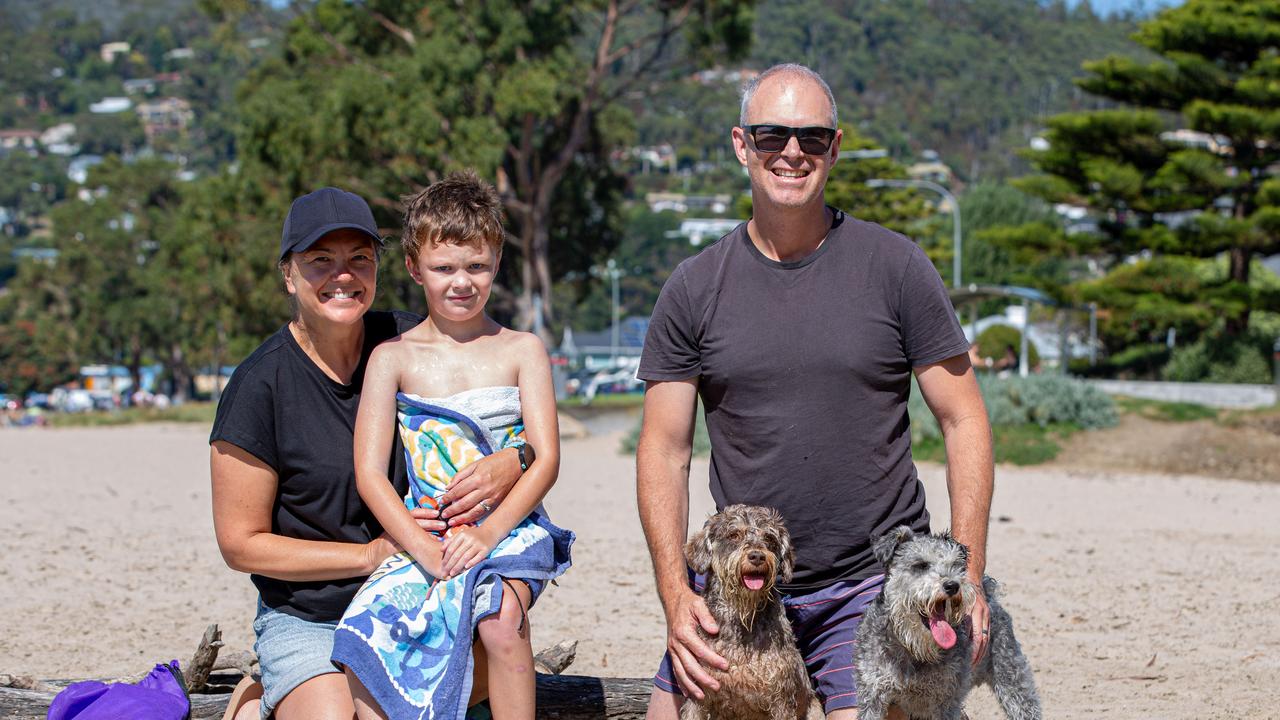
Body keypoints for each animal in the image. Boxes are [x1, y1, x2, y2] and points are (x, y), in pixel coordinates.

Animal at [680, 502, 819, 717]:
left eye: (769, 538)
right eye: (734, 535)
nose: (757, 556)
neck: (742, 618)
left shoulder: (781, 699)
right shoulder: (697, 694)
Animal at [849, 520, 1039, 717]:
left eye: (955, 565)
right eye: (921, 565)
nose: (952, 585)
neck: (915, 650)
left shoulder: (947, 700)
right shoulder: (872, 695)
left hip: (1011, 678)